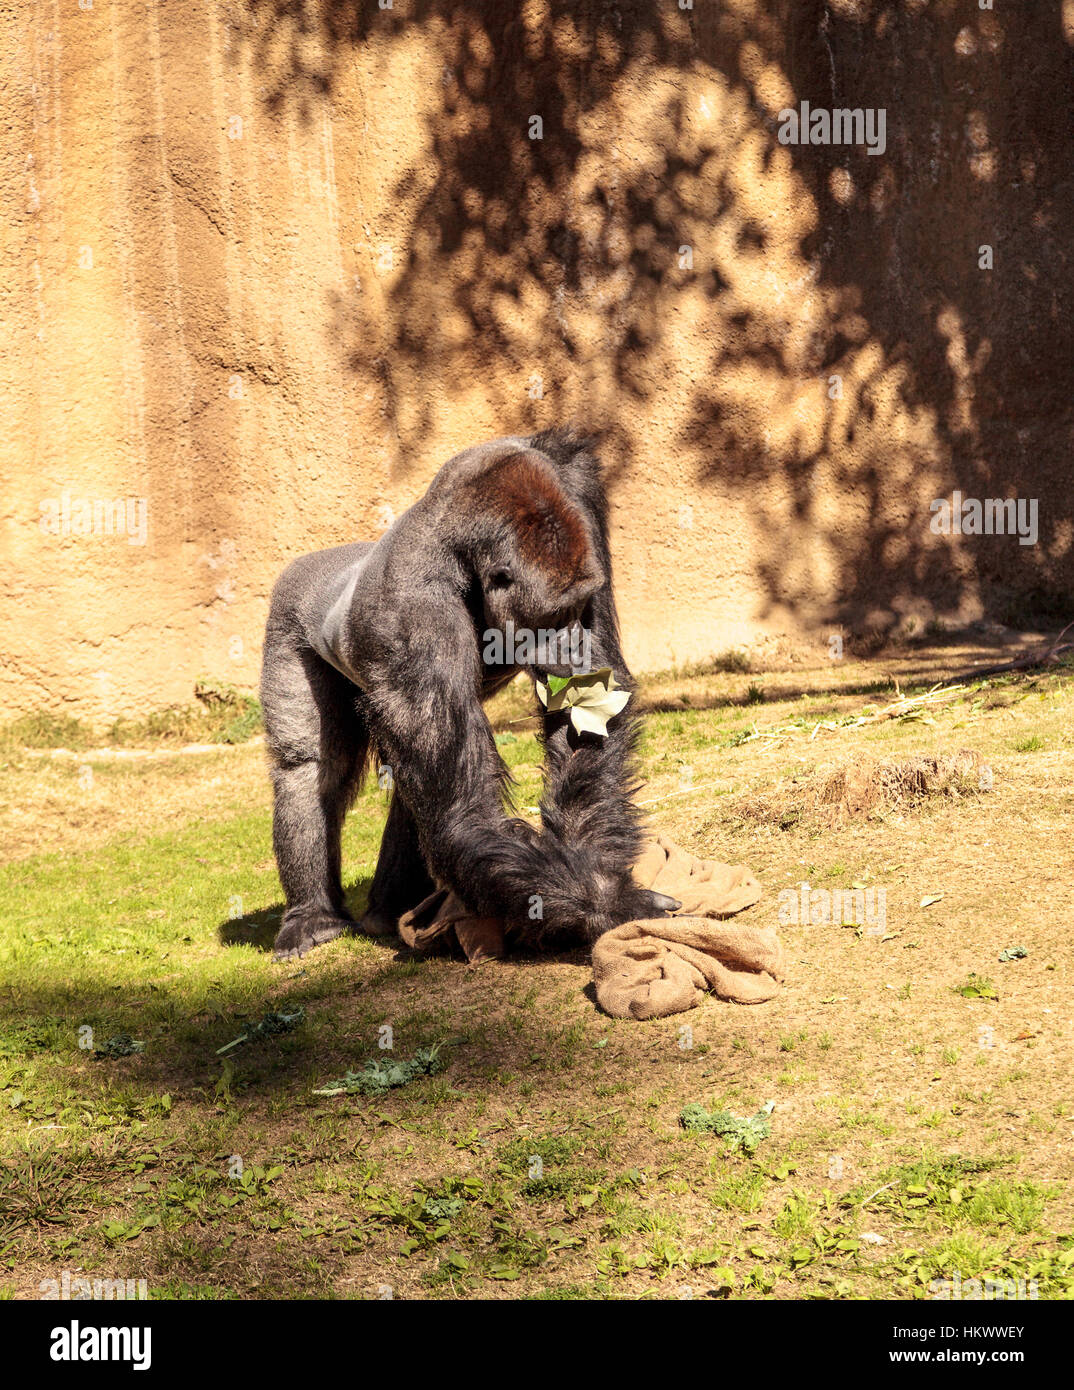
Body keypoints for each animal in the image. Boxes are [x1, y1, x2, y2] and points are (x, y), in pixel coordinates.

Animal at [259, 428, 675, 961]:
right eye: (554, 617)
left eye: (580, 607)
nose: (577, 649)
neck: (463, 553)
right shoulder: (413, 616)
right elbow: (464, 813)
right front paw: (608, 903)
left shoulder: (580, 497)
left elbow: (585, 716)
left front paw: (595, 866)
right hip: (288, 611)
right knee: (310, 767)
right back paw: (312, 916)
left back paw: (387, 909)